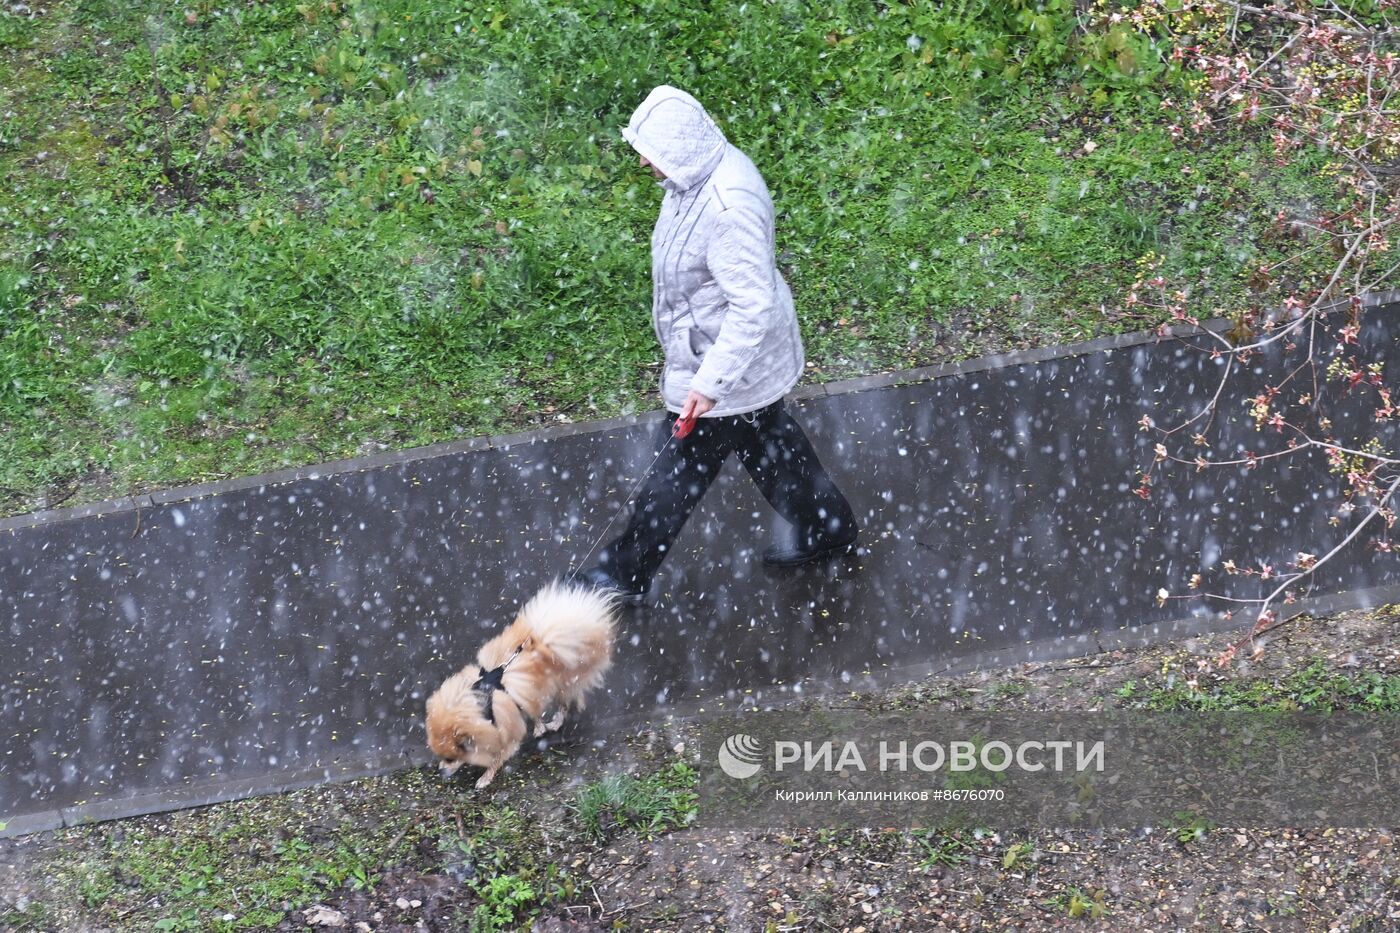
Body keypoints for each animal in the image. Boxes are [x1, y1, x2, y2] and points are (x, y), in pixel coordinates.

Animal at [422, 582, 616, 784]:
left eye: (450, 758)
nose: (440, 771)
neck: (478, 706)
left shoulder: (506, 734)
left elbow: (497, 757)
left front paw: (485, 778)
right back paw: (542, 724)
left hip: (561, 685)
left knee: (564, 704)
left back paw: (554, 722)